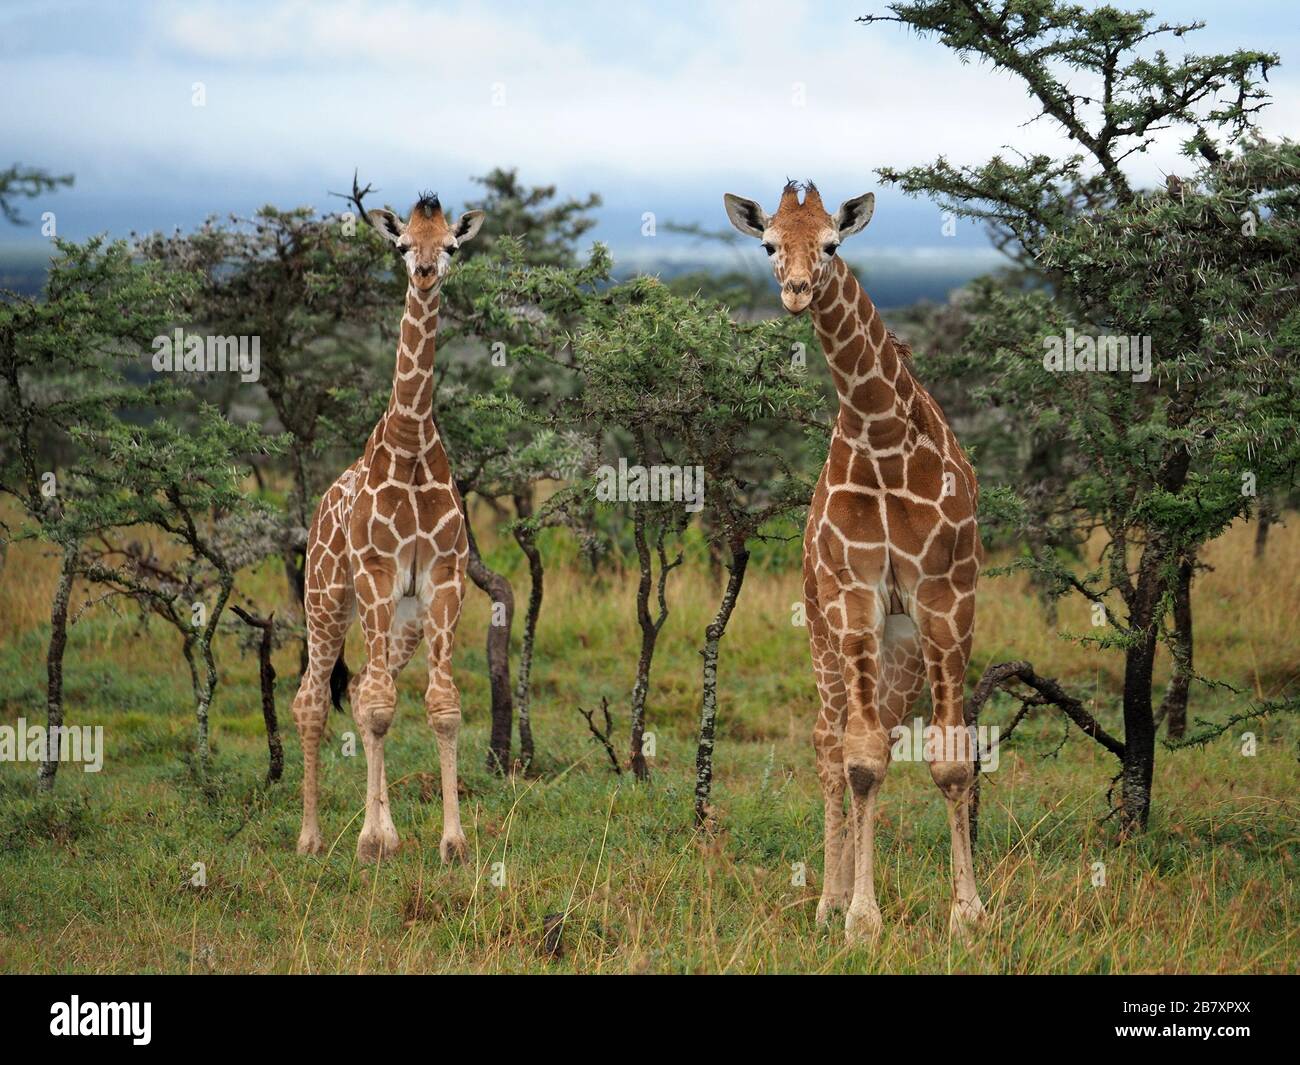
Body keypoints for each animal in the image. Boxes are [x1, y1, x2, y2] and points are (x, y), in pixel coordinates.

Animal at [292, 191, 486, 868]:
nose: (424, 272)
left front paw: (452, 842)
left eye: (450, 245)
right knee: (314, 700)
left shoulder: (445, 579)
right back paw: (313, 839)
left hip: (404, 620)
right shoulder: (377, 573)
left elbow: (441, 708)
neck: (410, 443)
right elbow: (379, 710)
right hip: (326, 599)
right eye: (403, 245)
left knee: (362, 691)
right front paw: (373, 841)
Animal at [722, 180, 982, 941]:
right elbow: (862, 761)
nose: (798, 290)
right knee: (829, 742)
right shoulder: (855, 595)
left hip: (902, 647)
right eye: (769, 244)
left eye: (833, 244)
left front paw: (968, 913)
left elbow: (951, 759)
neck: (886, 437)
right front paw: (861, 918)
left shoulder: (946, 598)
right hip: (823, 630)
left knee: (876, 735)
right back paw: (829, 899)